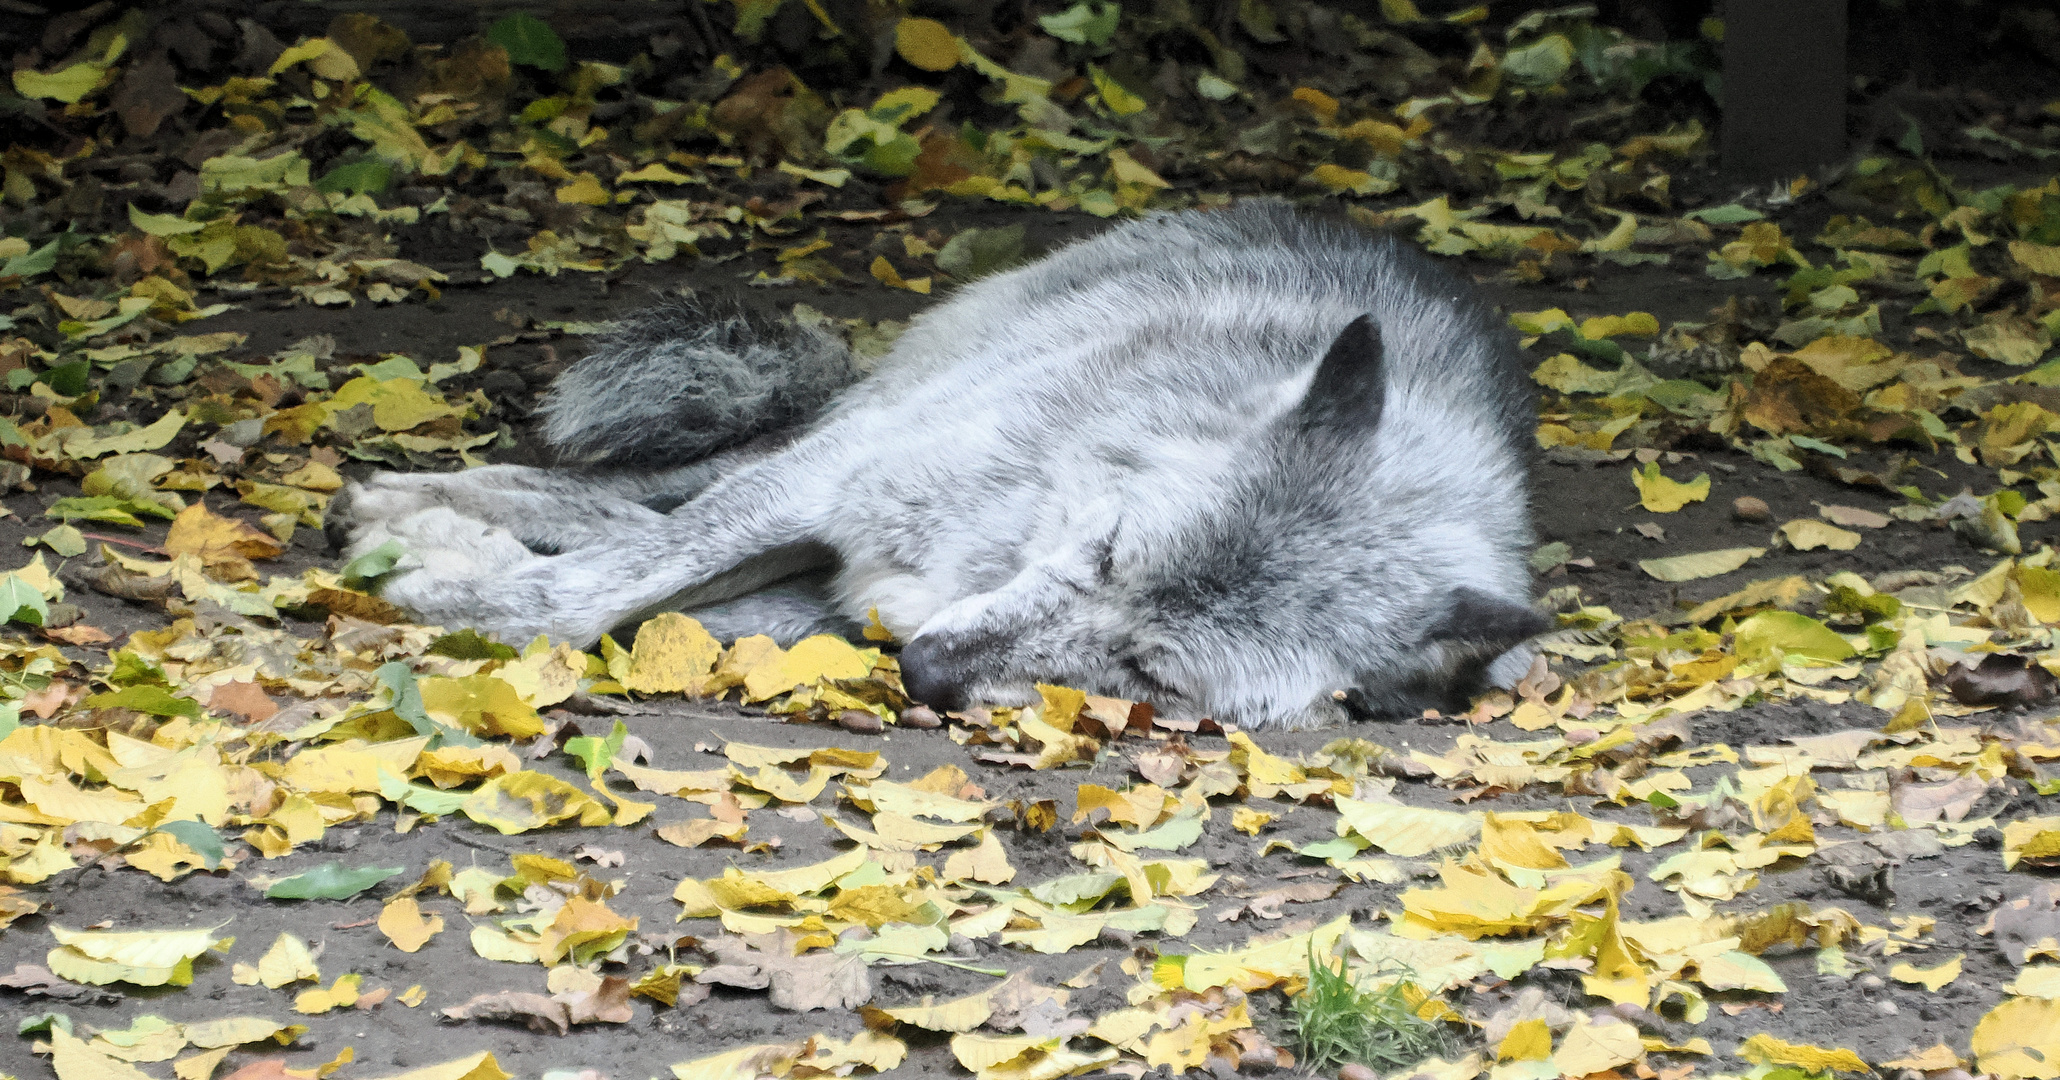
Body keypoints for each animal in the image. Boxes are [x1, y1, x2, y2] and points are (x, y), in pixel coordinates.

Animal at [325, 197, 1549, 729]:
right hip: (872, 413)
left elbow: (632, 597)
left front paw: (449, 573)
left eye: (1150, 672)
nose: (924, 674)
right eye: (1107, 552)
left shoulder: (832, 598)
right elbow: (595, 590)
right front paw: (444, 587)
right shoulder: (828, 484)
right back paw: (412, 505)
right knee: (643, 493)